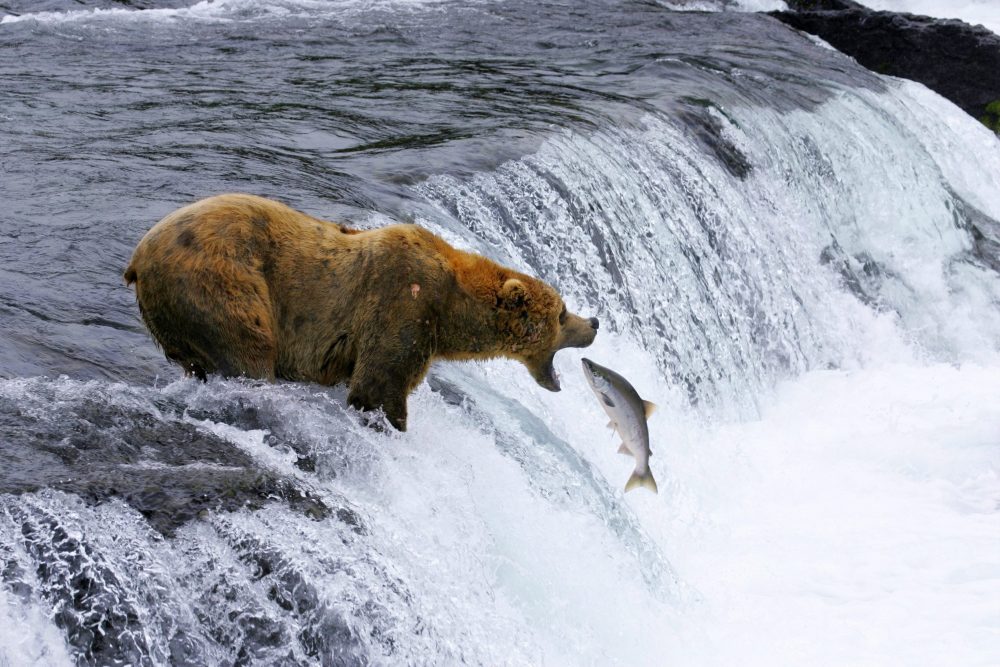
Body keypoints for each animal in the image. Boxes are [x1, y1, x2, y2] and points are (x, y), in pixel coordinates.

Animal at [123, 196, 592, 430]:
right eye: (562, 312)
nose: (595, 323)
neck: (451, 309)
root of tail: (137, 258)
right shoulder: (402, 301)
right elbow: (379, 385)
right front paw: (390, 422)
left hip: (172, 317)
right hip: (220, 283)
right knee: (248, 351)